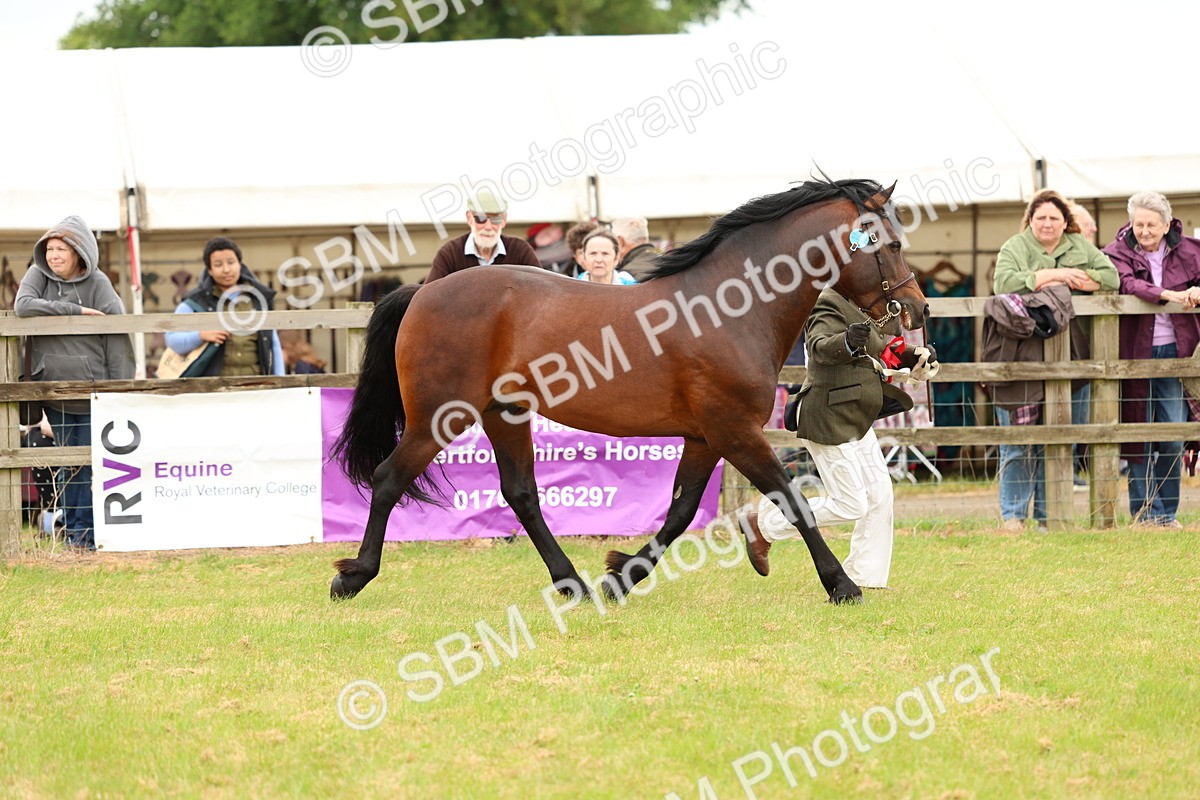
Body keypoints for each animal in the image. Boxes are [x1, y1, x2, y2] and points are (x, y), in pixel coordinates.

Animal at [330, 177, 929, 604]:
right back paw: (352, 577)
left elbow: (682, 511)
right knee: (388, 478)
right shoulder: (735, 432)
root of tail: (422, 292)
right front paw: (842, 585)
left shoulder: (706, 437)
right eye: (893, 243)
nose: (918, 310)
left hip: (505, 414)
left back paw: (572, 584)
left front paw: (621, 577)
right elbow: (791, 498)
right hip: (439, 417)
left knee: (521, 493)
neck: (730, 308)